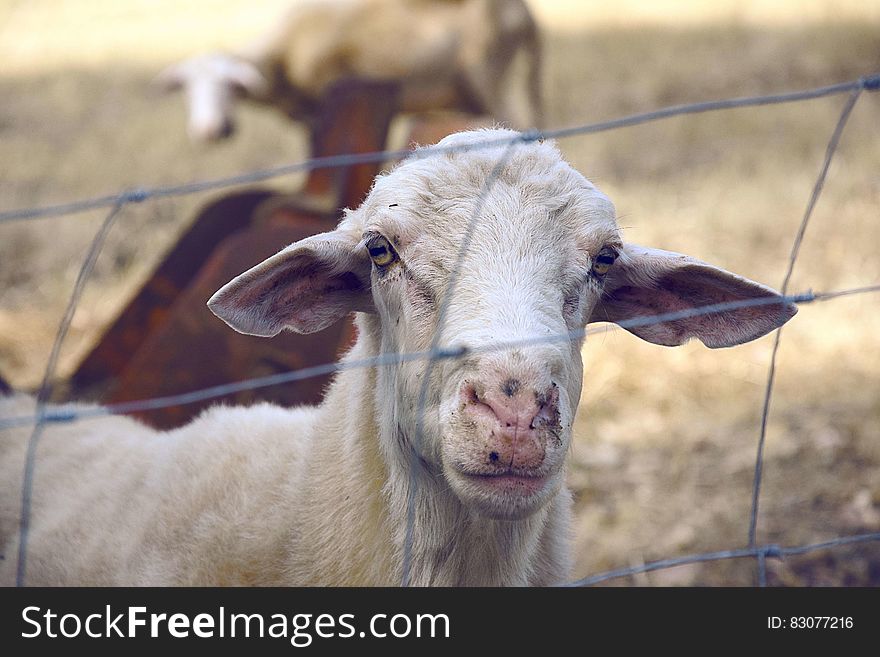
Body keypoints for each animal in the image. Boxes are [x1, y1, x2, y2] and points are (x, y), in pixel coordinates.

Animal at [157, 0, 544, 142]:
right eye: (187, 89)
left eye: (230, 85)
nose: (209, 131)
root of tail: (523, 12)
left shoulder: (321, 111)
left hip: (490, 80)